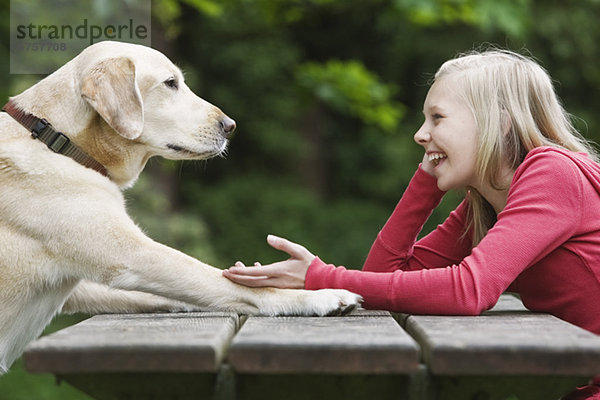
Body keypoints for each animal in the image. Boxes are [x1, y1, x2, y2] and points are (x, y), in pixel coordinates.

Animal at [0, 39, 360, 372]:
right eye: (170, 83)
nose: (230, 125)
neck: (57, 139)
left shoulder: (81, 287)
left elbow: (173, 293)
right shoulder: (133, 255)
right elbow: (226, 282)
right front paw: (319, 296)